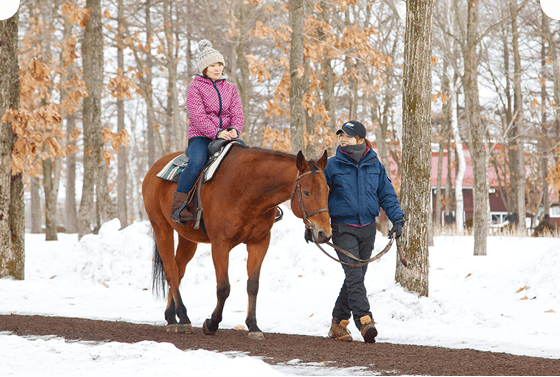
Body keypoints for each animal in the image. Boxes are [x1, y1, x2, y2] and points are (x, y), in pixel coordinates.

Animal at [142, 145, 330, 340]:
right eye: (306, 192)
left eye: (328, 190)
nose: (324, 233)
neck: (247, 188)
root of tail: (154, 169)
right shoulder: (220, 244)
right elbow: (223, 287)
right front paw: (212, 323)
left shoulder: (259, 242)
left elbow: (253, 285)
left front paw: (253, 326)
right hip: (161, 227)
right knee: (171, 271)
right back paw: (183, 318)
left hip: (187, 239)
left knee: (179, 271)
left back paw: (171, 317)